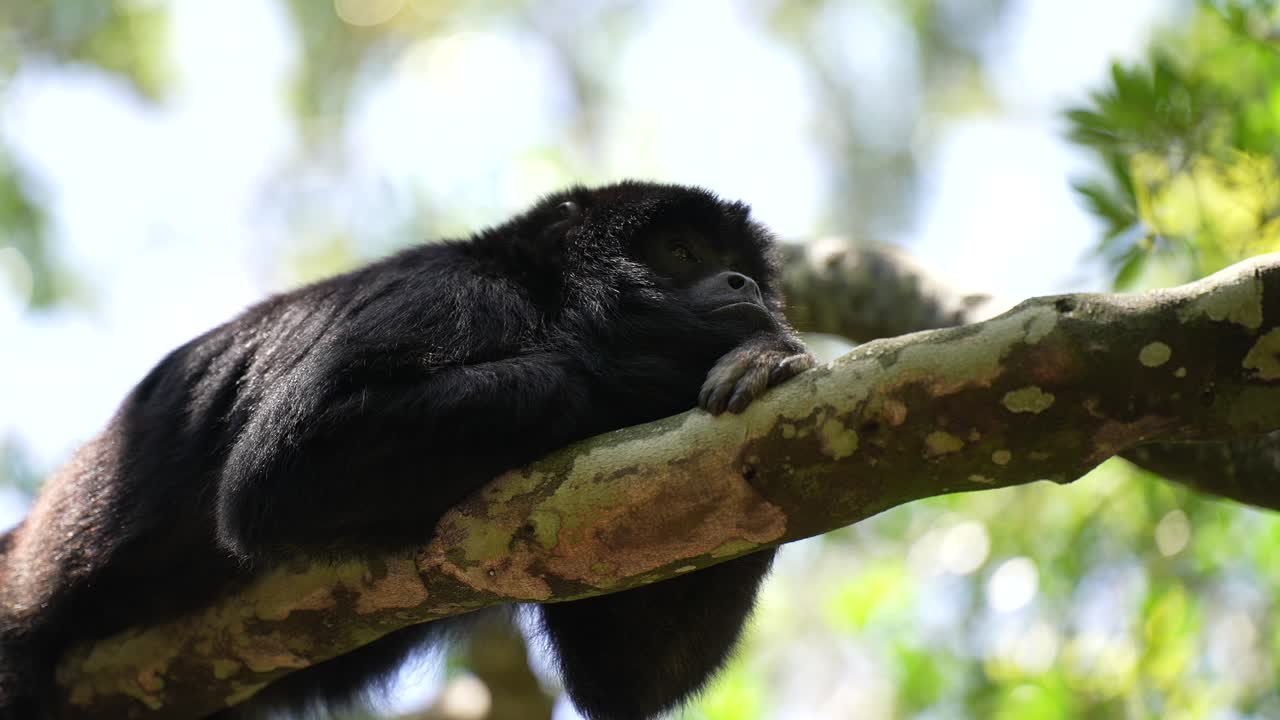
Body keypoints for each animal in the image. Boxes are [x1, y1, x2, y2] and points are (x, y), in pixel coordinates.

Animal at [0, 181, 814, 720]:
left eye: (742, 265)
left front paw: (767, 360)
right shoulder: (450, 296)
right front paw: (678, 368)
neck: (547, 299)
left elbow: (631, 676)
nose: (744, 283)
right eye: (681, 251)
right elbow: (276, 470)